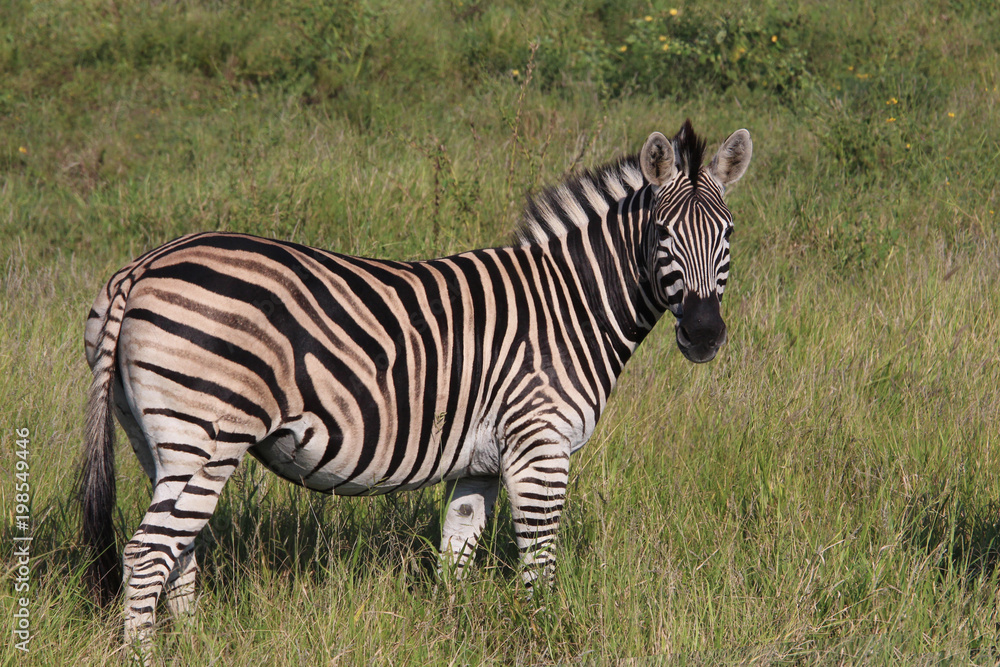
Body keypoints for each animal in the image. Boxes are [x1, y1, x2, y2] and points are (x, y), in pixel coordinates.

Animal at [80, 120, 751, 651]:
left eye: (729, 235)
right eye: (662, 234)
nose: (704, 335)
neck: (569, 305)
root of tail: (142, 267)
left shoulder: (481, 462)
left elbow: (456, 554)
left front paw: (451, 635)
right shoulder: (539, 446)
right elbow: (539, 563)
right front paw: (543, 635)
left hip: (159, 443)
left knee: (179, 552)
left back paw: (195, 644)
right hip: (206, 437)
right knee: (148, 555)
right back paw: (144, 655)